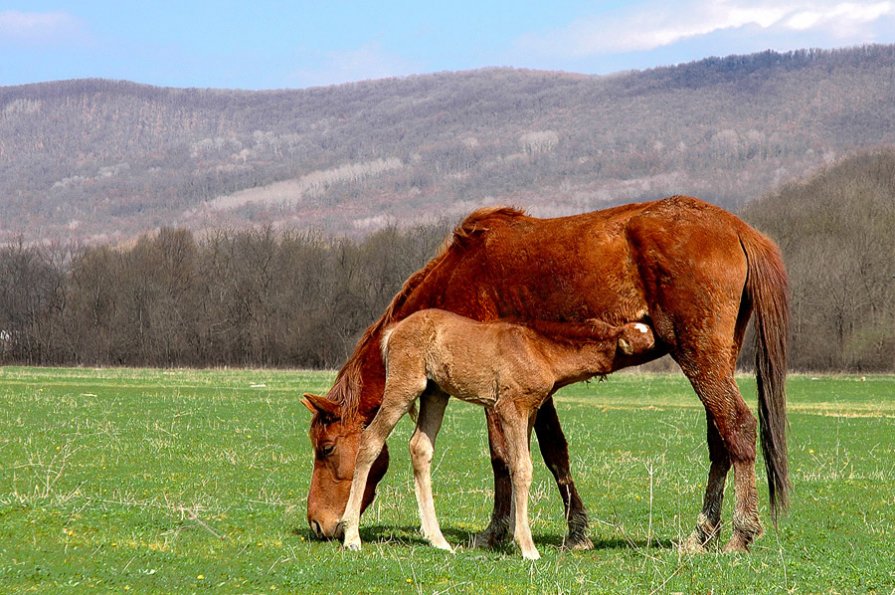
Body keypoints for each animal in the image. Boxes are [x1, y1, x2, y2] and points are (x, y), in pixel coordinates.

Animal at [340, 310, 656, 560]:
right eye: (642, 341)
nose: (660, 342)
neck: (539, 349)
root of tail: (392, 331)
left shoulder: (529, 412)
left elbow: (518, 466)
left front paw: (515, 537)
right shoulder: (509, 407)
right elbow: (522, 467)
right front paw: (527, 547)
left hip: (435, 393)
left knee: (420, 447)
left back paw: (438, 540)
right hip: (405, 387)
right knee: (371, 441)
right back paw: (352, 536)